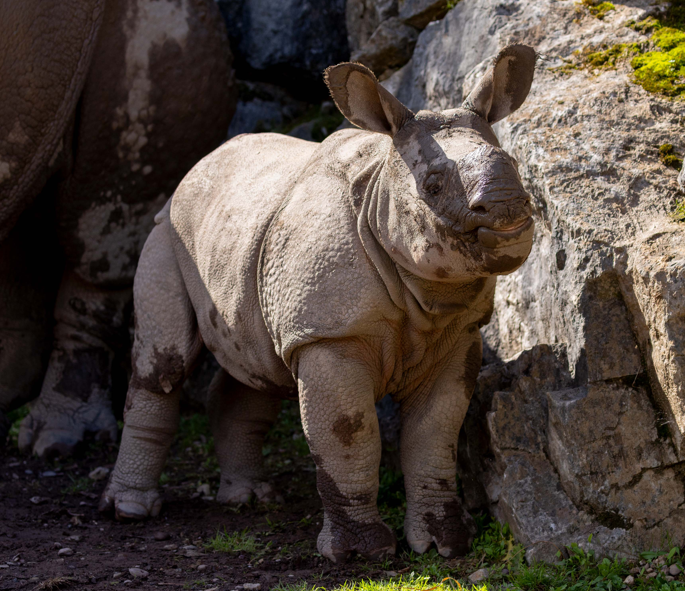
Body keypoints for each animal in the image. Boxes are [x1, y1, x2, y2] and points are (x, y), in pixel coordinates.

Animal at [100, 45, 537, 562]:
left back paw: (250, 499)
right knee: (164, 365)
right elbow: (350, 431)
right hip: (166, 232)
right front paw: (360, 554)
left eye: (516, 165)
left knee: (258, 364)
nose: (508, 209)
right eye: (431, 186)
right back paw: (130, 510)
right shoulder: (330, 333)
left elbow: (434, 434)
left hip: (246, 239)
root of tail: (197, 166)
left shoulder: (457, 332)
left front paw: (445, 544)